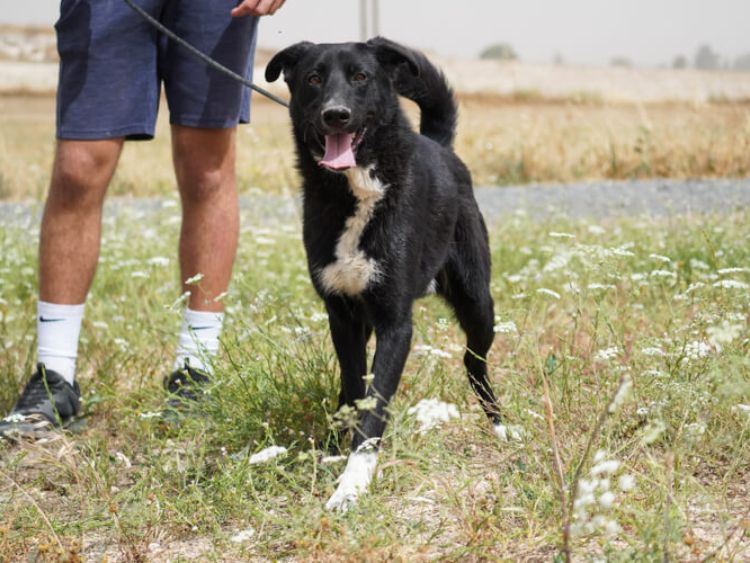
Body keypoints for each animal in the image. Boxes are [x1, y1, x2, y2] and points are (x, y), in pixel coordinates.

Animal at [264, 36, 512, 512]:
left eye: (361, 76)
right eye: (313, 78)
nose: (336, 114)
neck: (357, 191)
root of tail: (440, 145)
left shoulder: (396, 322)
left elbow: (375, 404)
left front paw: (352, 485)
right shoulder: (343, 316)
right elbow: (354, 390)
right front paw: (338, 455)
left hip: (478, 303)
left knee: (474, 363)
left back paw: (502, 426)